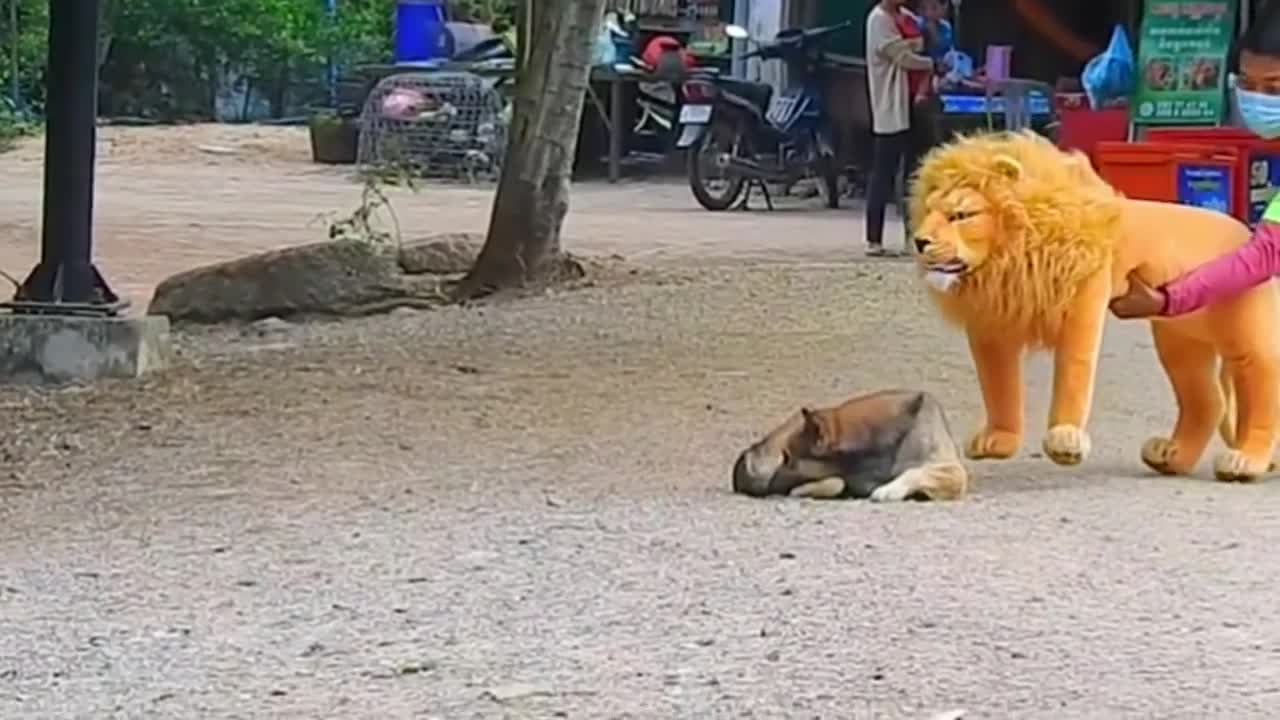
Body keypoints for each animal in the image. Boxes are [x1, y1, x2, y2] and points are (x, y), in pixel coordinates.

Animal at [732, 389, 967, 502]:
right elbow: (839, 482)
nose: (765, 489)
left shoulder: (953, 472)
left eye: (789, 458)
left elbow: (914, 472)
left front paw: (890, 490)